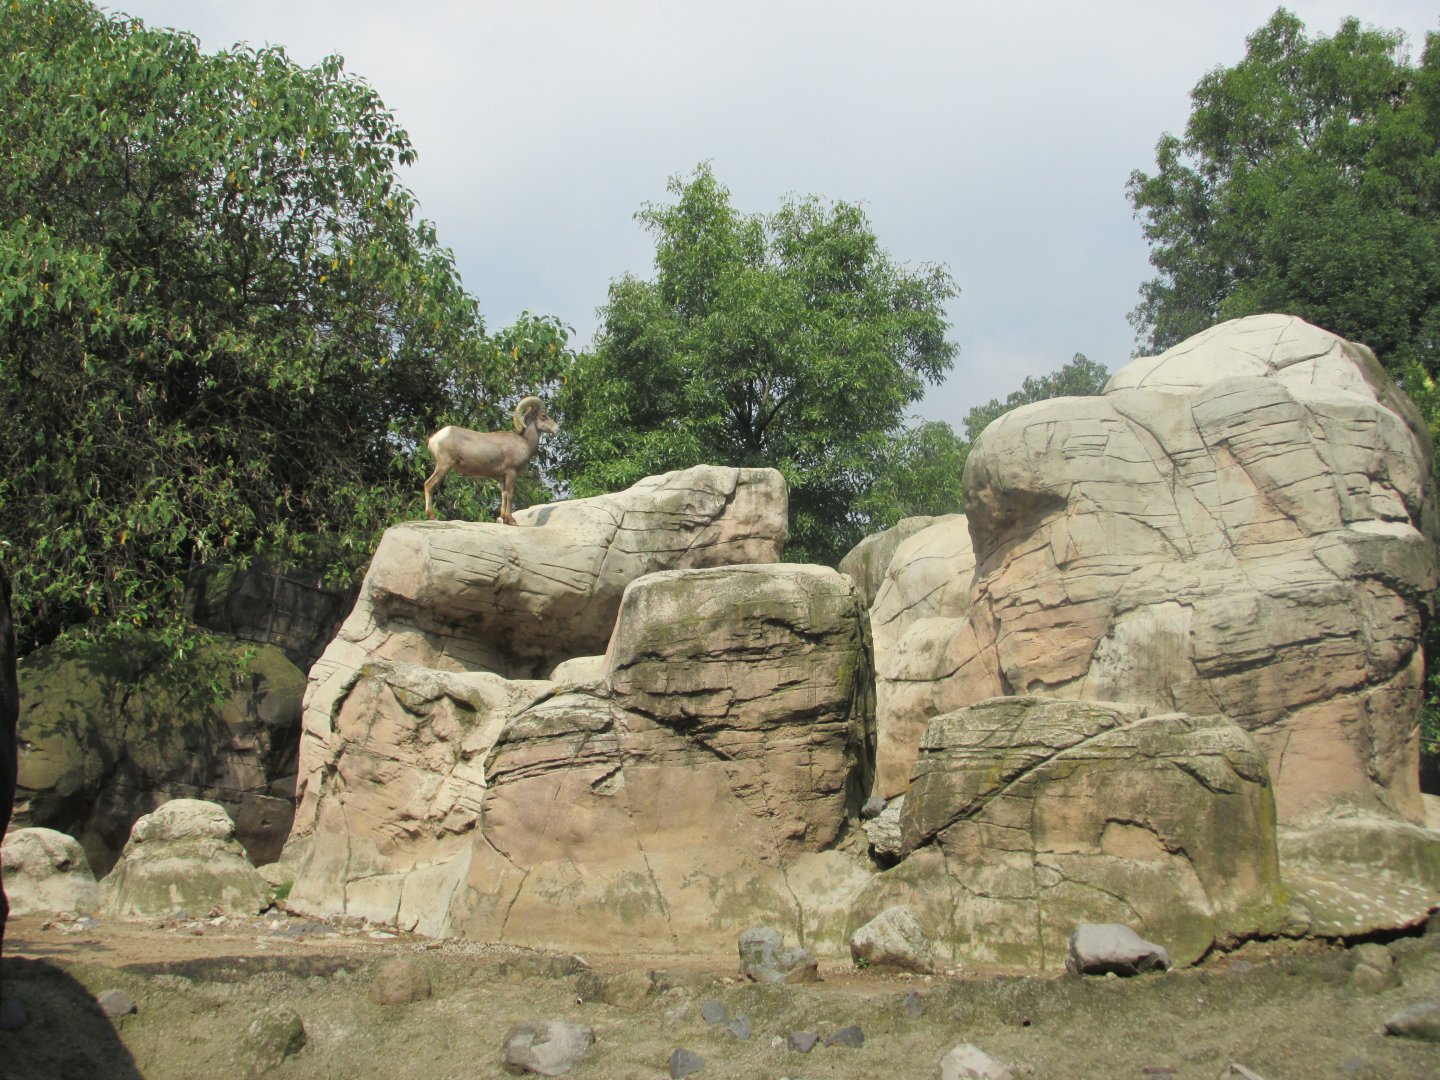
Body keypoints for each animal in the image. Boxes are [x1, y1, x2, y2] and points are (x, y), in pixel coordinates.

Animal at [422, 396, 558, 524]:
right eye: (543, 416)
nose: (557, 428)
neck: (525, 442)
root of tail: (434, 438)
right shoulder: (511, 472)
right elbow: (510, 494)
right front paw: (511, 520)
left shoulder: (502, 476)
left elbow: (504, 495)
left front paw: (503, 519)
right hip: (444, 465)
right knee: (429, 485)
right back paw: (432, 516)